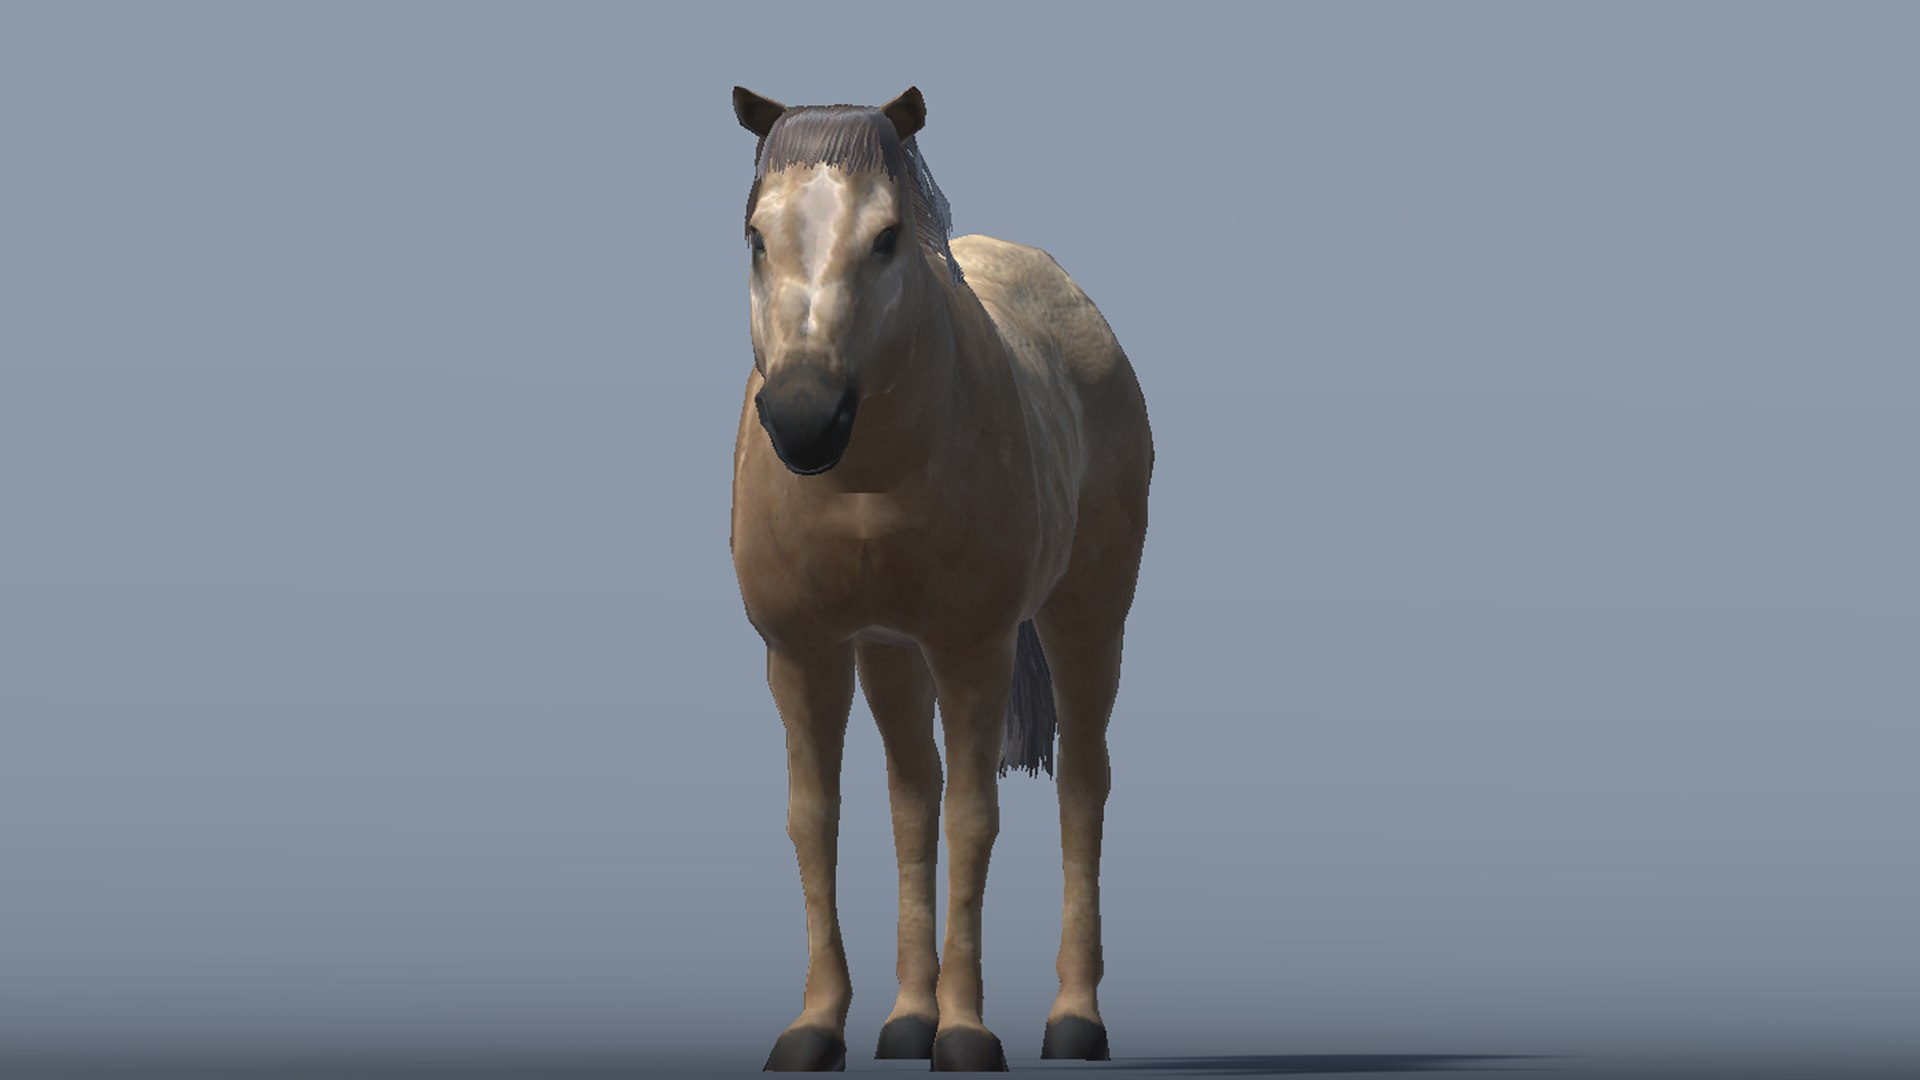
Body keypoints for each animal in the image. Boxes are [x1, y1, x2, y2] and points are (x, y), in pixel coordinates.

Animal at [728, 85, 1153, 1072]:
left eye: (886, 238)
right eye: (756, 236)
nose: (803, 420)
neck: (864, 480)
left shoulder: (973, 649)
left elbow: (973, 816)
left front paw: (966, 1032)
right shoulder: (803, 652)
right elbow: (819, 817)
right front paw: (818, 1027)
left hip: (1089, 615)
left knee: (1083, 785)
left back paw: (1073, 1019)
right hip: (889, 651)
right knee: (909, 798)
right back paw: (904, 1021)